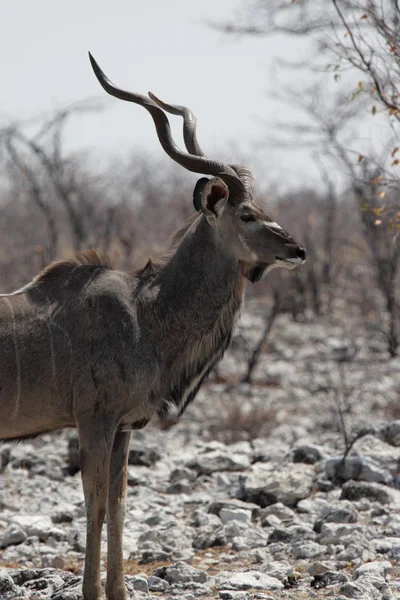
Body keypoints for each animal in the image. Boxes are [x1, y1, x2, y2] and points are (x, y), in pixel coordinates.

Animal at [0, 54, 306, 596]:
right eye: (248, 215)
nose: (297, 249)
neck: (147, 315)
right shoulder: (94, 420)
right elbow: (96, 504)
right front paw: (91, 590)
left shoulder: (123, 428)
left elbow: (119, 506)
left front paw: (119, 590)